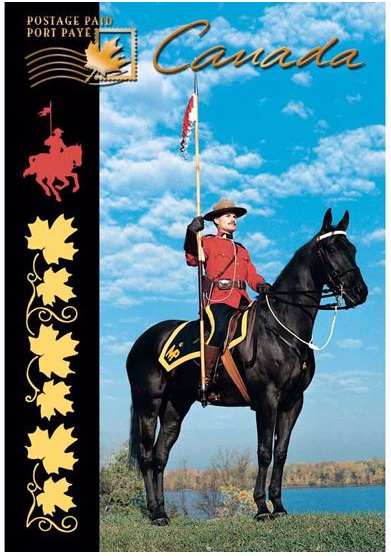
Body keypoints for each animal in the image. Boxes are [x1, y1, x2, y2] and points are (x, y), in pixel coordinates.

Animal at [127, 210, 370, 524]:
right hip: (149, 404)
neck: (284, 326)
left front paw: (278, 505)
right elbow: (264, 451)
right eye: (330, 249)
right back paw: (155, 513)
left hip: (175, 407)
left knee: (160, 457)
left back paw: (161, 510)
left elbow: (281, 452)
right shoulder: (267, 398)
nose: (360, 291)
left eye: (352, 249)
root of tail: (141, 341)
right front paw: (261, 508)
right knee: (146, 456)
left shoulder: (293, 402)